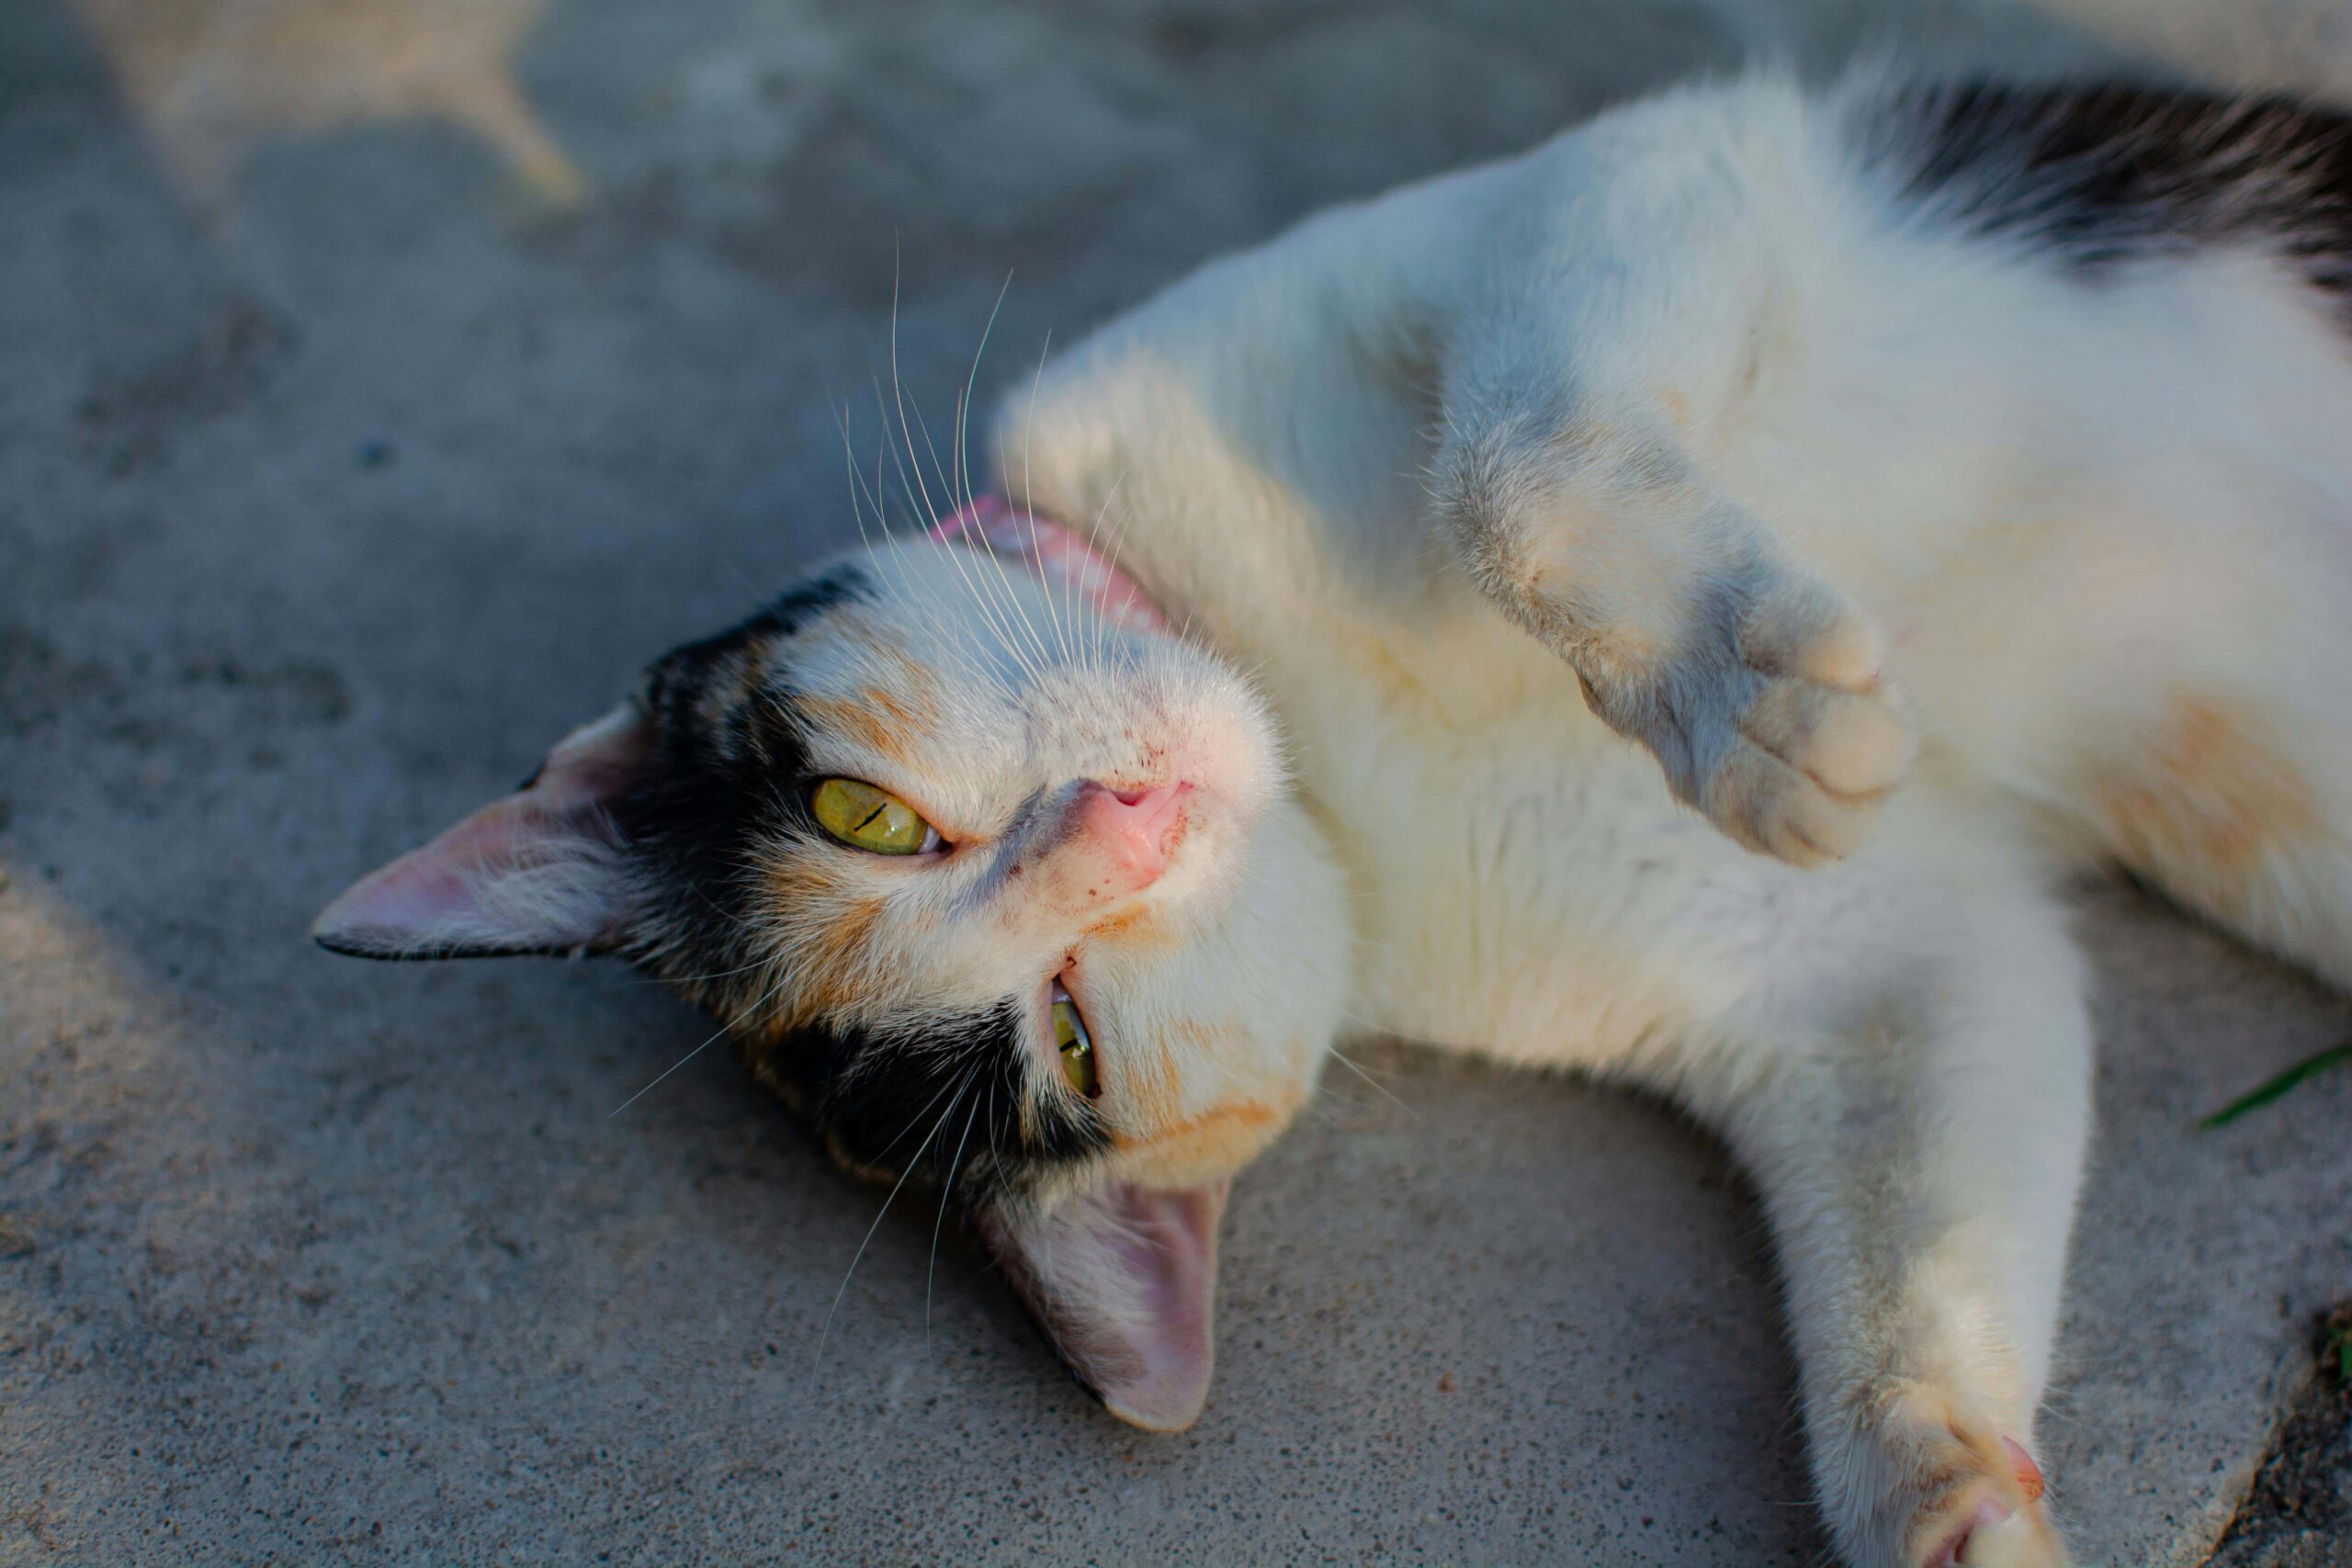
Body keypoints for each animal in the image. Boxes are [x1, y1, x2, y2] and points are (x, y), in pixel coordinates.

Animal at [303, 67, 2352, 1568]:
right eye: (1069, 1036)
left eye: (857, 811)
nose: (1124, 822)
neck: (1317, 721)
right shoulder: (1867, 961)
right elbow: (1933, 1182)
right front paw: (1941, 1493)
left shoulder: (1625, 188)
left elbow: (1503, 466)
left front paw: (1760, 702)